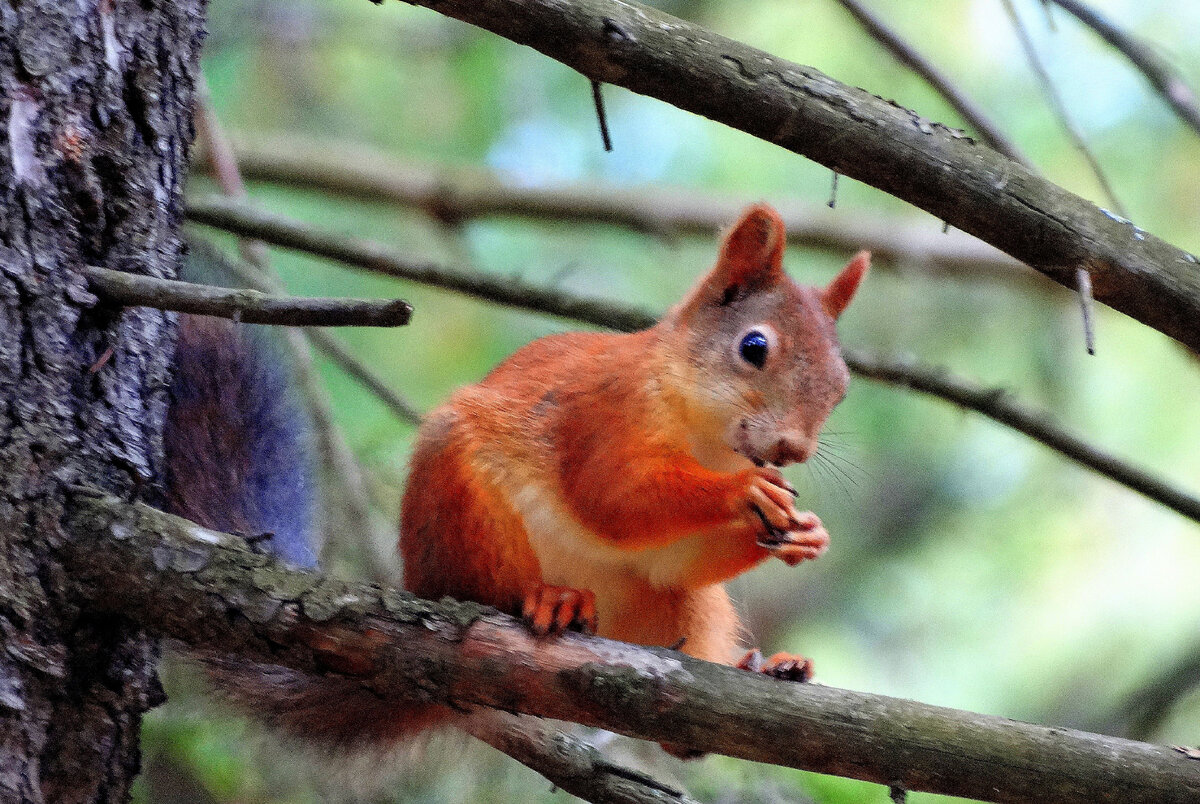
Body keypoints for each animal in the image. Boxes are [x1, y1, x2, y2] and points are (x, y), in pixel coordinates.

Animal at [164, 205, 868, 753]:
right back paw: (548, 599)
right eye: (754, 347)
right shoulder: (602, 417)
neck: (708, 438)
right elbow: (612, 497)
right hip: (463, 507)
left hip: (682, 611)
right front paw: (741, 496)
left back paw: (762, 669)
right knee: (486, 591)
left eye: (842, 387)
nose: (791, 450)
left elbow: (675, 556)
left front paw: (806, 533)